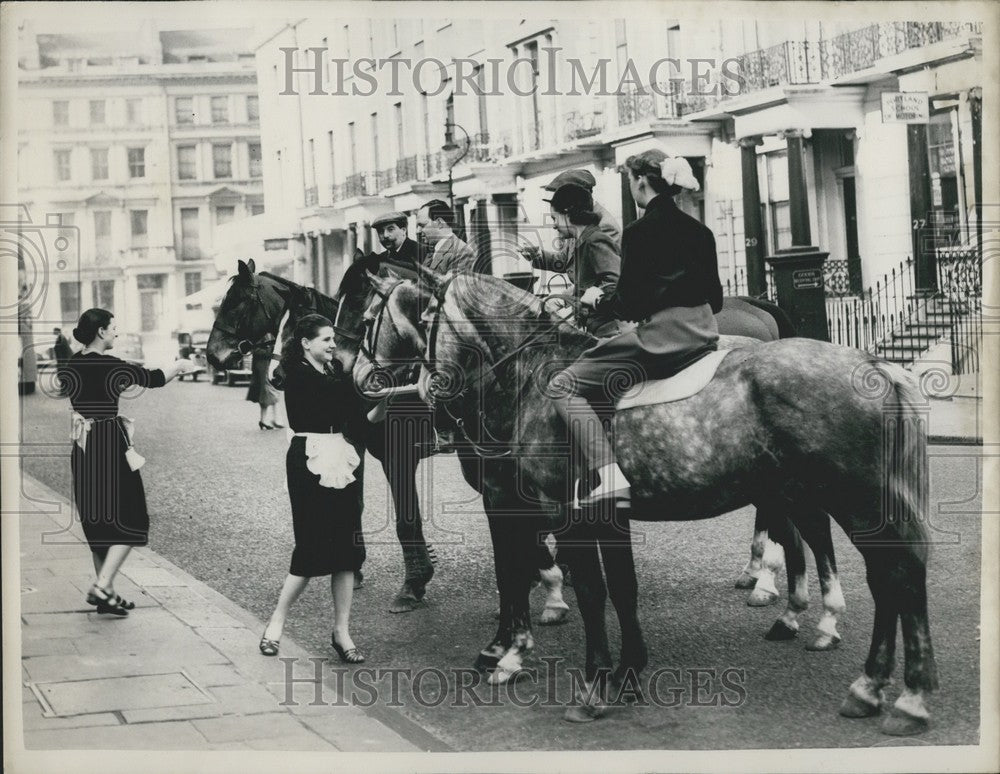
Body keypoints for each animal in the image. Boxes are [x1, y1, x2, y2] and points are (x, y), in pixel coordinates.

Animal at [366, 272, 936, 740]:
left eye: (397, 319)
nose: (423, 393)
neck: (534, 376)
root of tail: (875, 363)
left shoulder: (555, 513)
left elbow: (580, 588)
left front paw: (583, 681)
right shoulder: (601, 516)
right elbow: (621, 587)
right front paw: (624, 672)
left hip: (853, 497)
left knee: (889, 570)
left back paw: (892, 687)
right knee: (873, 567)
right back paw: (862, 674)